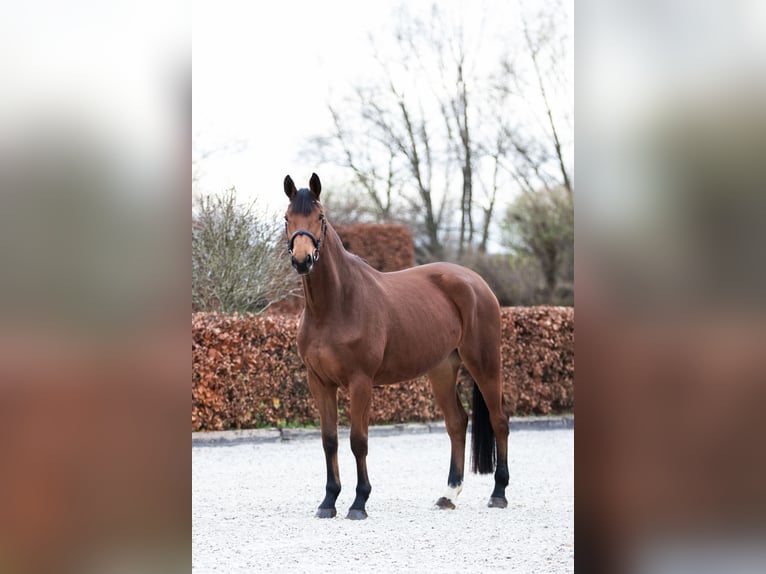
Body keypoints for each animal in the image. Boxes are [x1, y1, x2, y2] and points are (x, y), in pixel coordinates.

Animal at [282, 173, 510, 520]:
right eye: (286, 218)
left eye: (320, 217)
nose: (302, 259)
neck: (335, 305)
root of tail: (476, 282)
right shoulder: (319, 382)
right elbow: (329, 440)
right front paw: (328, 501)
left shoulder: (360, 382)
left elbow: (358, 441)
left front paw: (359, 503)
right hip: (443, 370)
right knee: (457, 423)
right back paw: (448, 494)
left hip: (485, 363)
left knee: (499, 421)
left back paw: (499, 493)